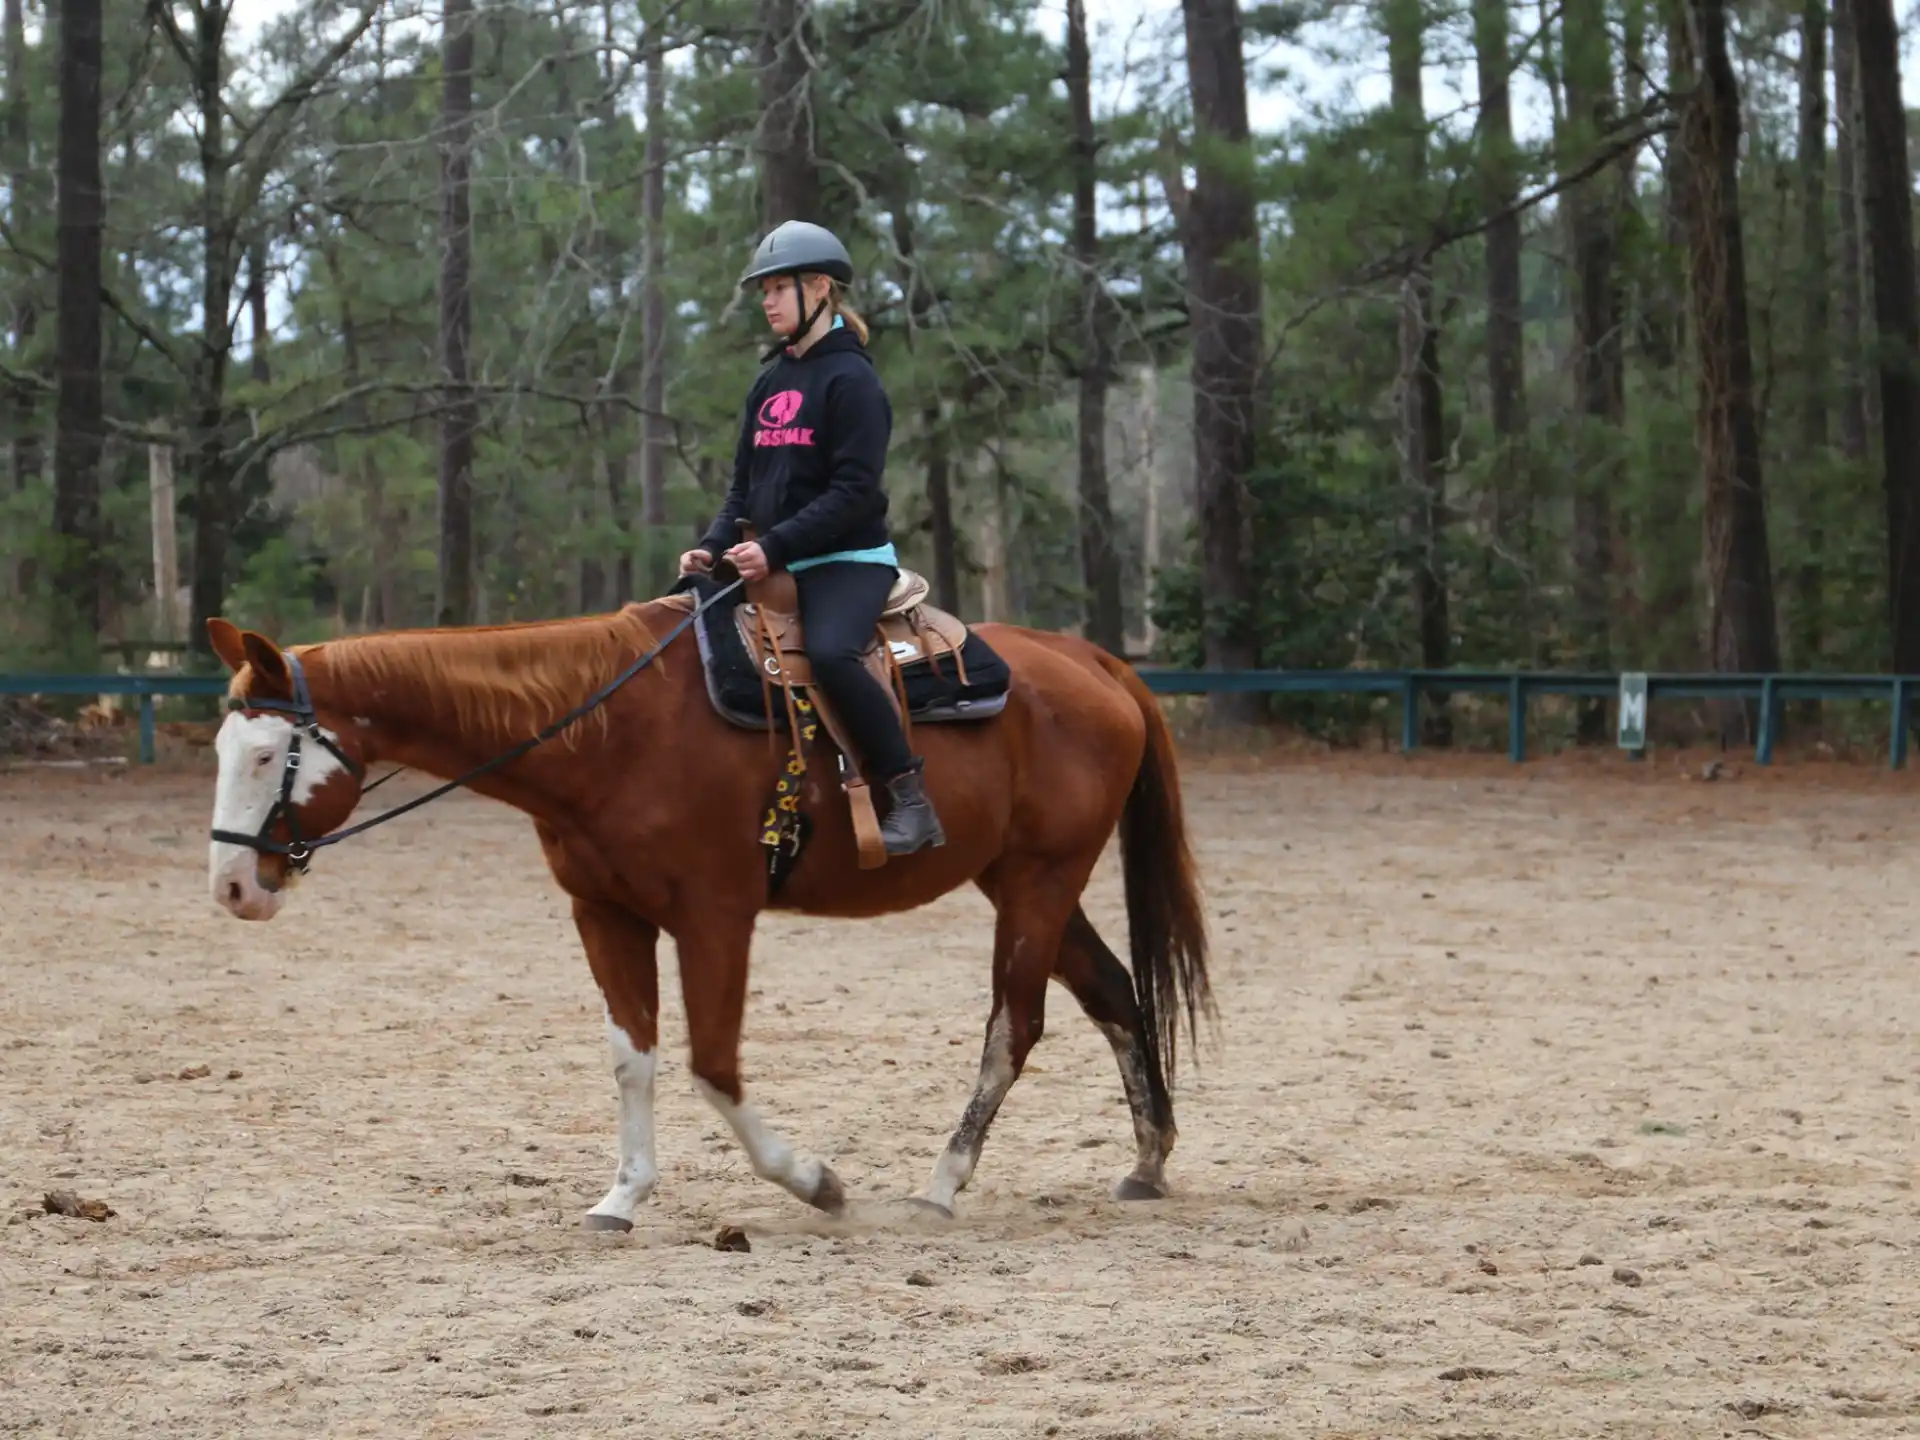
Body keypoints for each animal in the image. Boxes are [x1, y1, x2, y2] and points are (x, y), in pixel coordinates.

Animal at [201, 581, 1212, 1231]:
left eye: (267, 754)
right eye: (221, 748)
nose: (233, 888)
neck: (608, 730)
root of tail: (1092, 662)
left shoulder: (715, 917)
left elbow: (713, 1066)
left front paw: (814, 1182)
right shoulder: (605, 915)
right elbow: (633, 1058)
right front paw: (622, 1196)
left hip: (1040, 879)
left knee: (1015, 1025)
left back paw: (942, 1182)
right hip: (1020, 878)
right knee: (1114, 994)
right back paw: (1148, 1162)